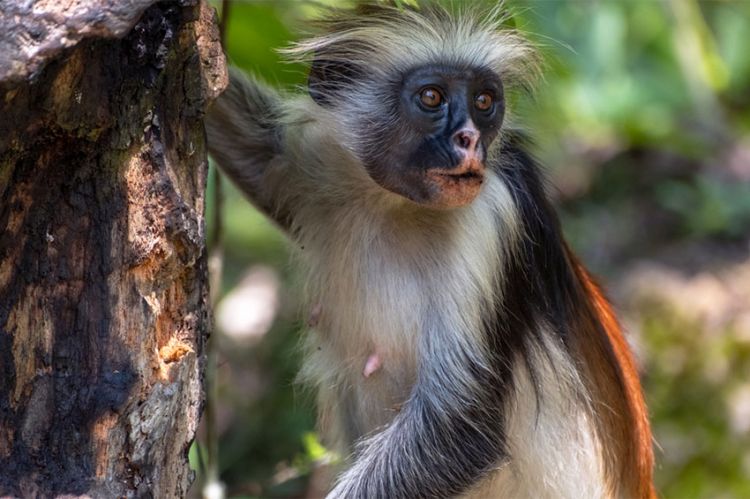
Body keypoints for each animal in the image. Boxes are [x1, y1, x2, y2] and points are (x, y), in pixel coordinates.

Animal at [204, 1, 652, 498]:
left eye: (483, 102)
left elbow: (460, 431)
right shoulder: (317, 165)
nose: (470, 139)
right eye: (433, 98)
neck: (393, 204)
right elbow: (258, 150)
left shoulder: (492, 215)